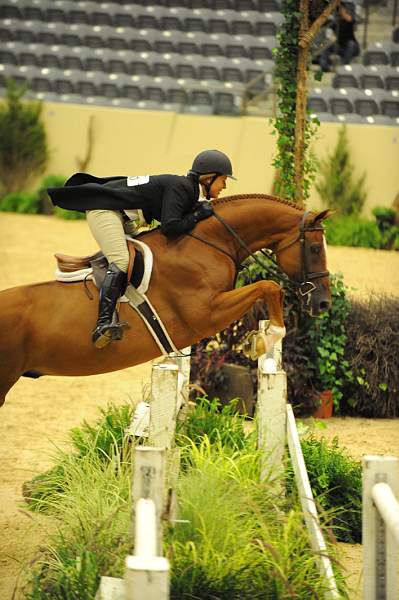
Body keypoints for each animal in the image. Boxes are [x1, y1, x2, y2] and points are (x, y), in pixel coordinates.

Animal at [0, 195, 332, 406]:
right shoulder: (206, 313)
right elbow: (269, 286)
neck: (211, 242)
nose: (323, 304)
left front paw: (256, 340)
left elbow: (265, 289)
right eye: (315, 248)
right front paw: (265, 340)